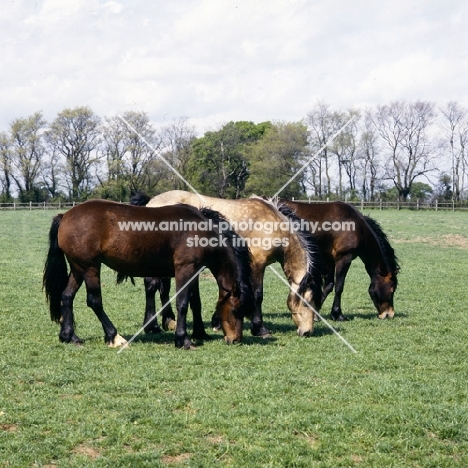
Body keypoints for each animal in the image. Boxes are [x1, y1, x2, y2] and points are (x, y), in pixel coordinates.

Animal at [43, 199, 256, 350]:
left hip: (78, 268)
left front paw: (199, 333)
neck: (201, 230)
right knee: (94, 301)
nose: (235, 339)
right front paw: (183, 339)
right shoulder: (185, 269)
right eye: (236, 309)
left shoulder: (194, 271)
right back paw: (114, 336)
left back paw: (69, 336)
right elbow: (182, 303)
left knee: (66, 296)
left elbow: (194, 302)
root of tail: (65, 215)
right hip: (90, 268)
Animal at [132, 189, 322, 336]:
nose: (307, 332)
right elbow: (258, 295)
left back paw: (167, 322)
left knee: (161, 288)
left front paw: (218, 321)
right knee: (152, 286)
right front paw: (259, 328)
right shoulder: (257, 265)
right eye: (307, 302)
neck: (273, 223)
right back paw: (153, 326)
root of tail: (151, 203)